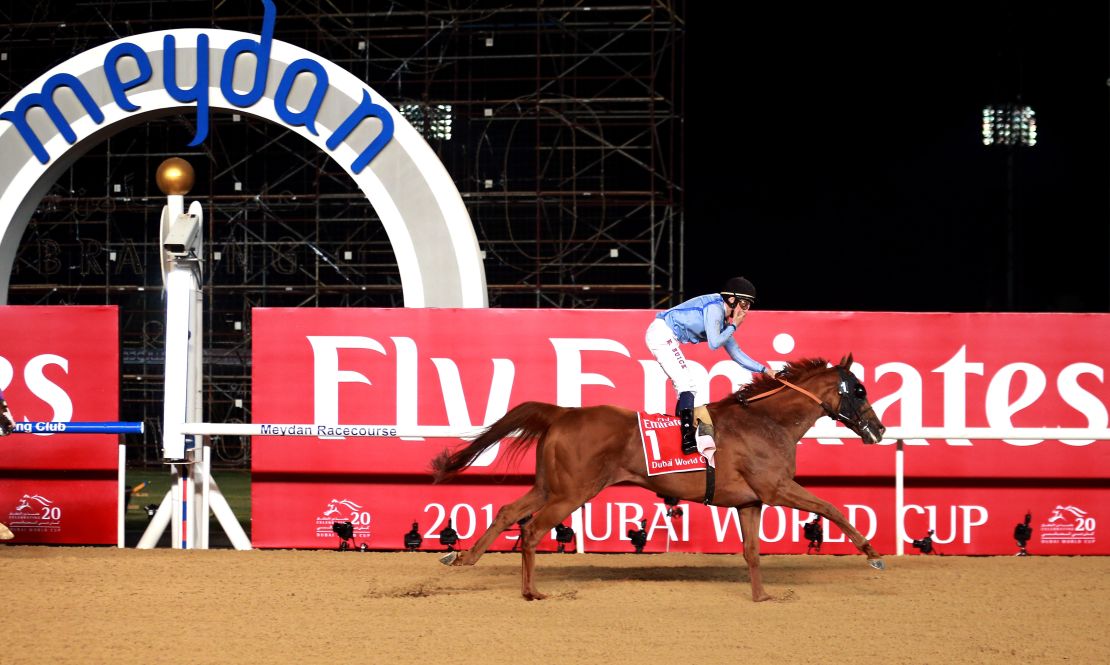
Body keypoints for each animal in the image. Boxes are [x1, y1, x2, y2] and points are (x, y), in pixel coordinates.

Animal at [432, 359, 883, 603]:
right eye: (859, 390)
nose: (878, 430)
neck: (767, 421)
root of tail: (563, 412)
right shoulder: (775, 488)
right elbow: (830, 507)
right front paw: (873, 553)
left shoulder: (749, 501)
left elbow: (753, 553)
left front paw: (762, 596)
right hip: (573, 490)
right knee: (532, 530)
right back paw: (532, 592)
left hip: (550, 484)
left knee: (509, 511)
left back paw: (463, 557)